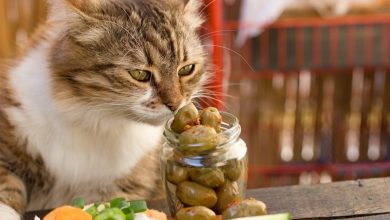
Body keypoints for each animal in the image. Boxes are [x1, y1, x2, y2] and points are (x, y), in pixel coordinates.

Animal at [0, 0, 210, 218]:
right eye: (140, 74)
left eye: (186, 69)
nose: (175, 104)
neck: (95, 118)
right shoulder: (10, 139)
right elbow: (7, 187)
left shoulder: (127, 183)